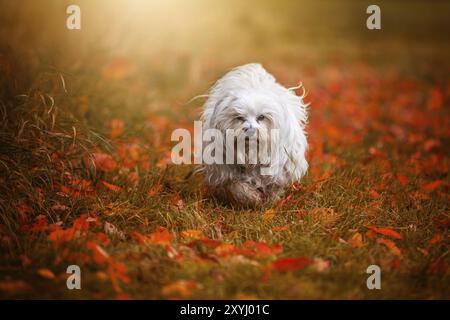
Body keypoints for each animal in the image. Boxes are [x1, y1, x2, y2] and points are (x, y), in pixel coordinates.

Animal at [202, 63, 308, 208]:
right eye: (240, 118)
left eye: (261, 117)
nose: (250, 130)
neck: (251, 152)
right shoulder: (227, 171)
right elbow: (238, 187)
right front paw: (252, 198)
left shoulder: (279, 168)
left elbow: (274, 186)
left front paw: (270, 201)